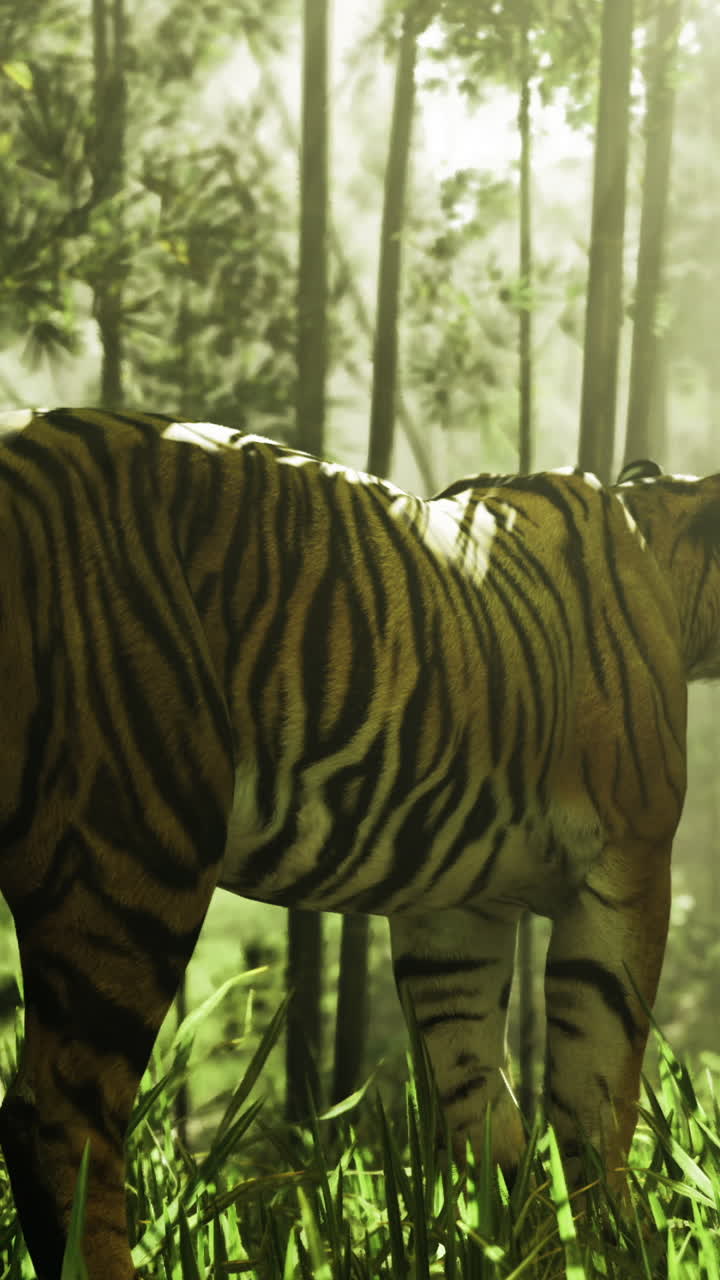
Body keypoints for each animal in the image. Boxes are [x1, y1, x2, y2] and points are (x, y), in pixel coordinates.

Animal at [0, 406, 717, 1279]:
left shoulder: (454, 913)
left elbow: (483, 1112)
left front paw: (518, 1249)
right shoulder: (628, 864)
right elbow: (596, 1096)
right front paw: (615, 1245)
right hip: (130, 843)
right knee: (58, 1118)